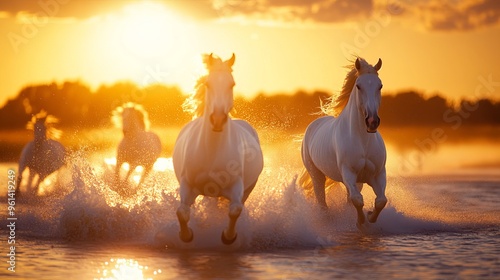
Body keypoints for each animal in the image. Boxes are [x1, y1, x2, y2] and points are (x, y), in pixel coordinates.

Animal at [173, 53, 264, 244]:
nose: (217, 120)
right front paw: (186, 235)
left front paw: (228, 237)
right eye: (208, 83)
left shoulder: (237, 186)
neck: (212, 151)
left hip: (247, 189)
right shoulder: (187, 185)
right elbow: (182, 212)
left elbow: (235, 210)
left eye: (232, 84)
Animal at [300, 57, 386, 228]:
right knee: (322, 201)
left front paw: (370, 216)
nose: (372, 122)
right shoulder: (348, 173)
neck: (362, 141)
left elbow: (381, 201)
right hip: (317, 175)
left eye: (380, 85)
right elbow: (357, 200)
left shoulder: (377, 174)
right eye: (358, 86)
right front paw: (360, 221)